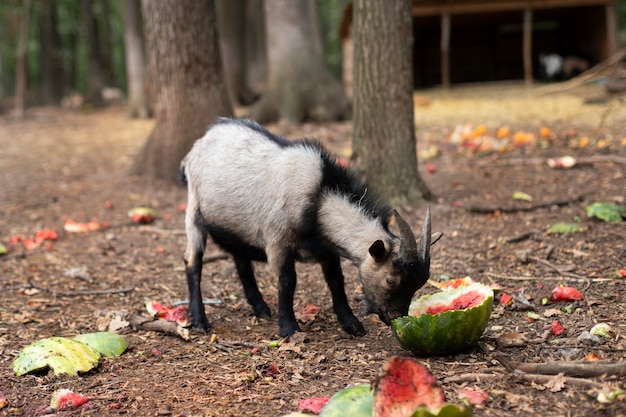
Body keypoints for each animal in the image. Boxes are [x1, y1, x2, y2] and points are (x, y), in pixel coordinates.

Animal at [178, 118, 432, 338]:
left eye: (420, 283)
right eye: (391, 280)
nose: (395, 317)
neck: (317, 197)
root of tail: (202, 140)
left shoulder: (327, 250)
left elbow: (336, 281)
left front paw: (351, 323)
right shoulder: (278, 242)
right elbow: (287, 281)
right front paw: (289, 328)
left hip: (236, 227)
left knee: (241, 260)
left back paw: (260, 307)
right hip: (194, 210)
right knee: (193, 262)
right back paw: (200, 320)